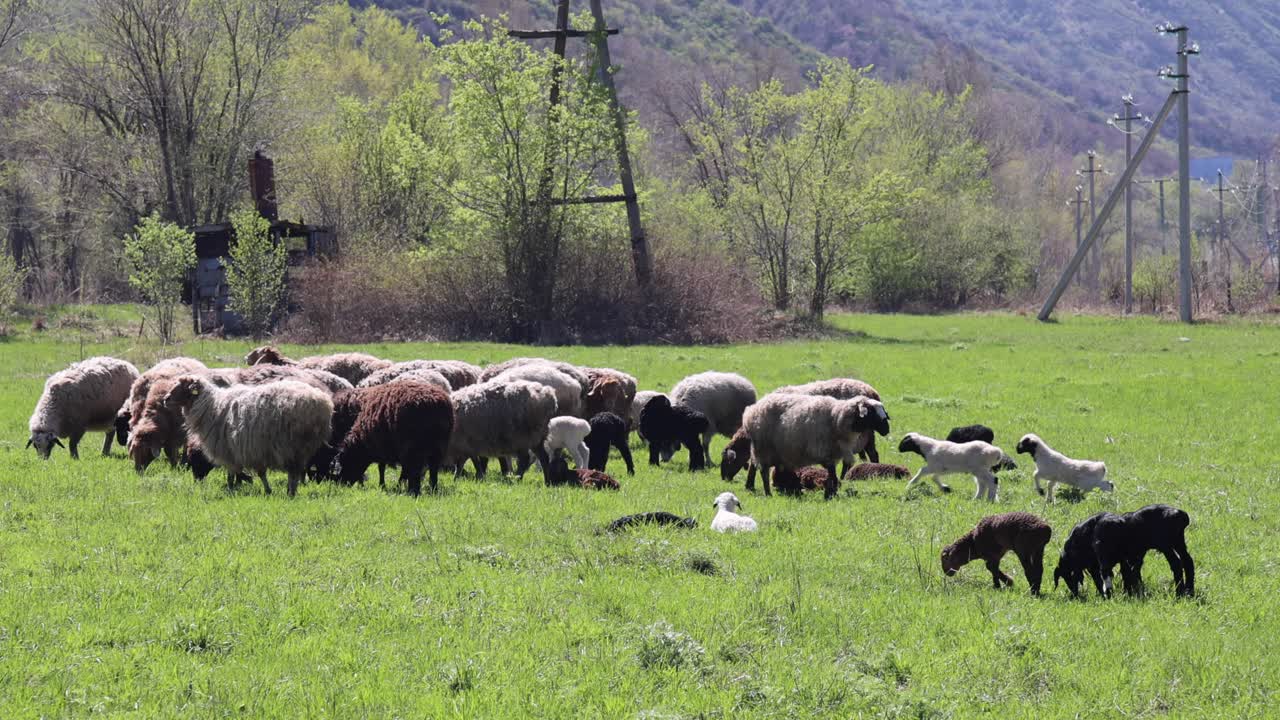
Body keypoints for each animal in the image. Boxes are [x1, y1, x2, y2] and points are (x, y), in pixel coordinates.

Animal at [165, 375, 333, 496]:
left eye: (184, 387)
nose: (165, 399)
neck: (209, 406)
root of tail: (322, 403)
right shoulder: (254, 449)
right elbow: (259, 472)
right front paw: (265, 489)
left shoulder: (232, 451)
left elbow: (233, 474)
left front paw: (232, 489)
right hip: (302, 446)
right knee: (297, 471)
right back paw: (291, 491)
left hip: (292, 444)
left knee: (294, 472)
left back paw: (291, 493)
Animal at [742, 393, 890, 499]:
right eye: (871, 411)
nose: (886, 430)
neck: (837, 418)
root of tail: (751, 411)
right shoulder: (825, 452)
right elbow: (832, 476)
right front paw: (831, 494)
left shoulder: (832, 454)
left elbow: (832, 476)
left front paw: (830, 493)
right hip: (763, 448)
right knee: (763, 472)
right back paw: (768, 493)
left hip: (771, 450)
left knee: (759, 466)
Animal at [1054, 505, 1194, 599]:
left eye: (1067, 575)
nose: (1074, 594)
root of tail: (1180, 514)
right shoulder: (1124, 559)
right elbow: (1127, 573)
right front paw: (1129, 592)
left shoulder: (1099, 561)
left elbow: (1103, 577)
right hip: (1178, 542)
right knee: (1187, 561)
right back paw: (1189, 590)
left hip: (1165, 545)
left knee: (1176, 564)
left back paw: (1179, 592)